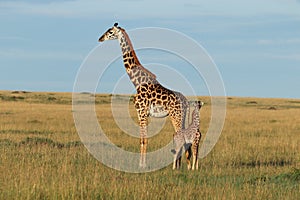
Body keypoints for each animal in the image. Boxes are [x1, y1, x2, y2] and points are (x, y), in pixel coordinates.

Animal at [98, 22, 190, 168]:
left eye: (110, 31)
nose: (100, 38)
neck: (137, 82)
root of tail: (187, 102)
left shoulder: (141, 112)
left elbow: (144, 140)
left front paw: (142, 165)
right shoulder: (142, 113)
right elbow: (142, 139)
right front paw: (141, 163)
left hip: (176, 116)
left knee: (181, 137)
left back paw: (177, 166)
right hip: (182, 116)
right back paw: (182, 165)